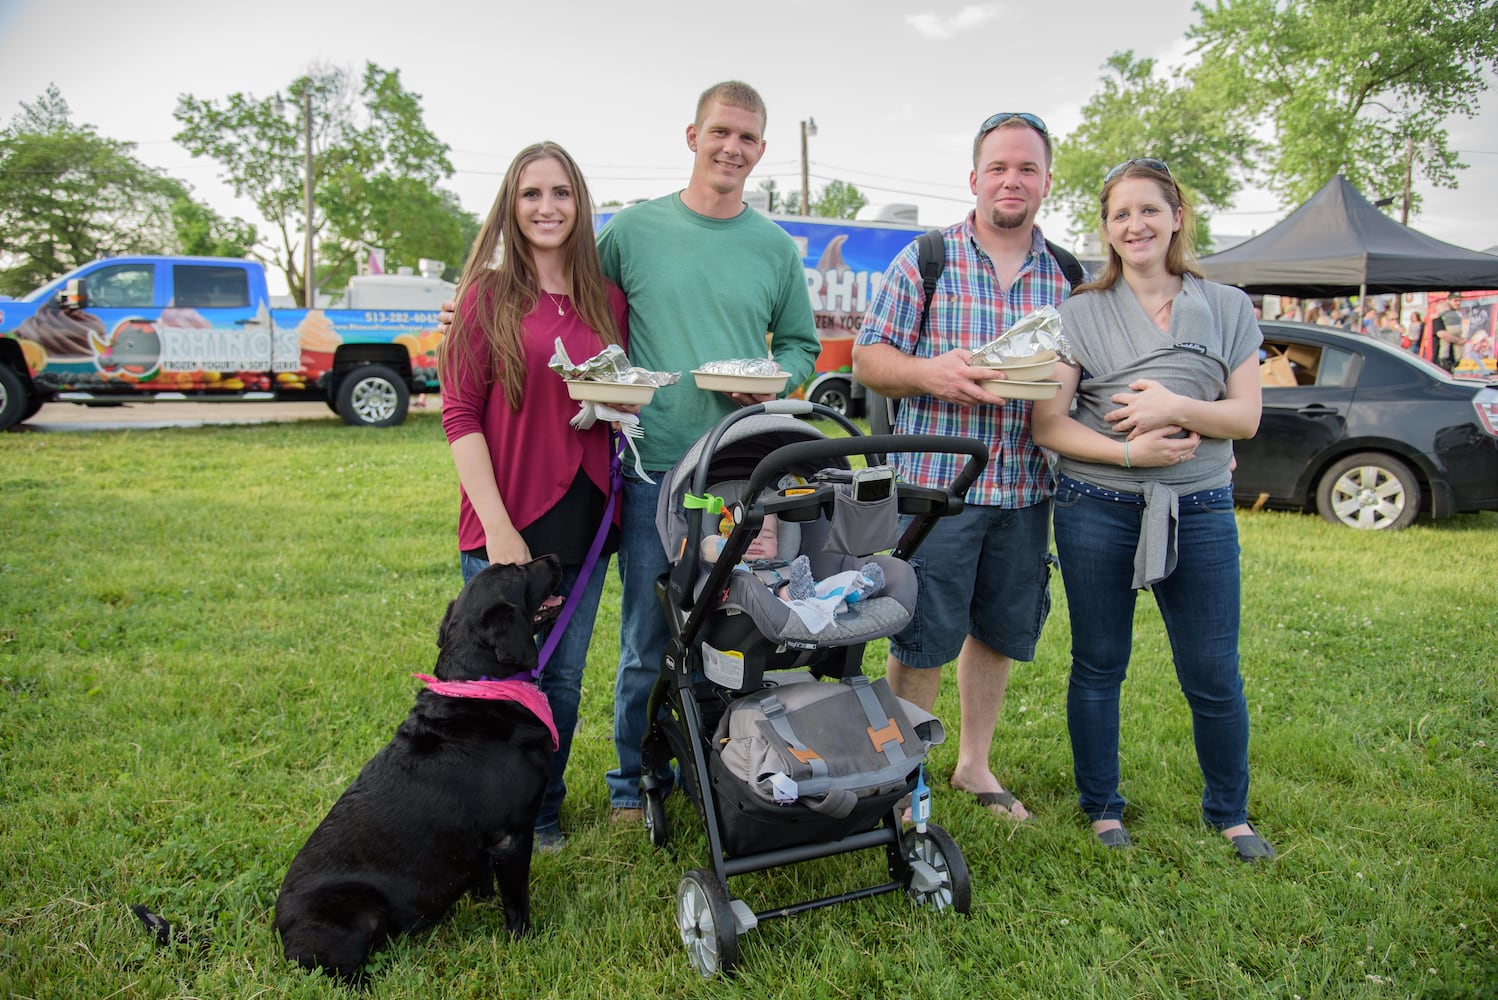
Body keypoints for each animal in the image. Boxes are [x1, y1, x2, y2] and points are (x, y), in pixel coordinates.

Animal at [274, 559, 563, 982]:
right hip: (358, 912)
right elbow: (516, 900)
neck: (482, 688)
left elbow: (483, 879)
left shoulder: (484, 841)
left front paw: (482, 903)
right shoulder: (511, 836)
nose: (555, 558)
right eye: (517, 569)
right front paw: (523, 939)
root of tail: (279, 932)